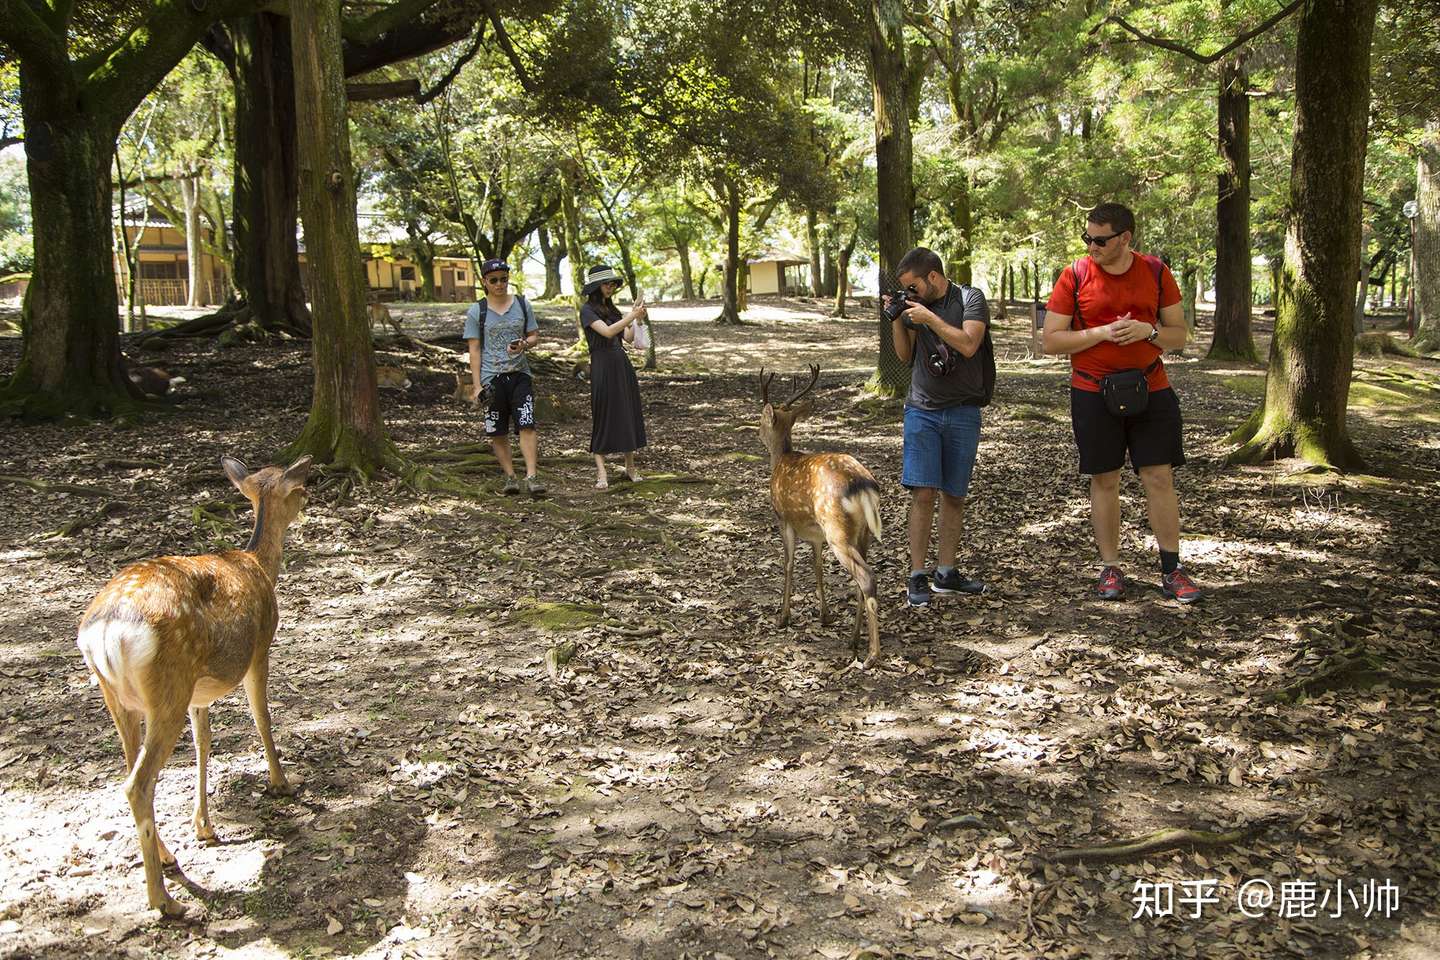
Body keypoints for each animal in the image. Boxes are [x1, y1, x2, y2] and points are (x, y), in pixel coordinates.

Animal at [76, 454, 312, 921]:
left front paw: (204, 826)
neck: (259, 564)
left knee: (131, 769)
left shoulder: (199, 693)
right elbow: (262, 718)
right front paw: (282, 782)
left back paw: (167, 859)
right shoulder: (260, 648)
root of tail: (106, 633)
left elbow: (204, 742)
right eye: (296, 487)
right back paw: (164, 900)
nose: (310, 495)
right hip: (168, 685)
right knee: (138, 782)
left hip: (125, 696)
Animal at [760, 365, 881, 667]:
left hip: (837, 529)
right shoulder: (815, 533)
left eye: (761, 420)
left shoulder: (784, 519)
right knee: (862, 580)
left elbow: (789, 564)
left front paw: (783, 617)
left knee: (866, 577)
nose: (757, 432)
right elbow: (817, 567)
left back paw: (871, 656)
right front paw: (825, 615)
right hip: (861, 533)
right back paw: (853, 639)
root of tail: (864, 486)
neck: (781, 459)